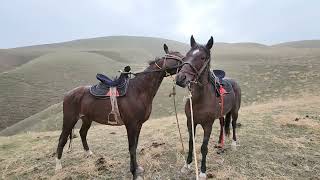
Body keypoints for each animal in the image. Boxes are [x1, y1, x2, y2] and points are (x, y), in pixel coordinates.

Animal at [55, 44, 184, 179]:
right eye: (177, 58)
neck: (139, 90)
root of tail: (68, 94)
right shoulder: (131, 125)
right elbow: (131, 148)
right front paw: (134, 173)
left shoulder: (138, 125)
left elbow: (135, 146)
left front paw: (137, 168)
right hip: (69, 120)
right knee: (62, 139)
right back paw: (58, 166)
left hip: (87, 119)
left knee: (82, 133)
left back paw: (88, 153)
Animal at [176, 35, 241, 179]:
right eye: (186, 56)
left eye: (202, 57)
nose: (180, 78)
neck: (200, 99)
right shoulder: (191, 122)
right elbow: (191, 143)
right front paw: (187, 165)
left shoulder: (207, 125)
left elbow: (203, 147)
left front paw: (202, 171)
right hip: (222, 114)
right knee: (222, 124)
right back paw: (220, 142)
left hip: (235, 111)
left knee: (233, 124)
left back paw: (234, 144)